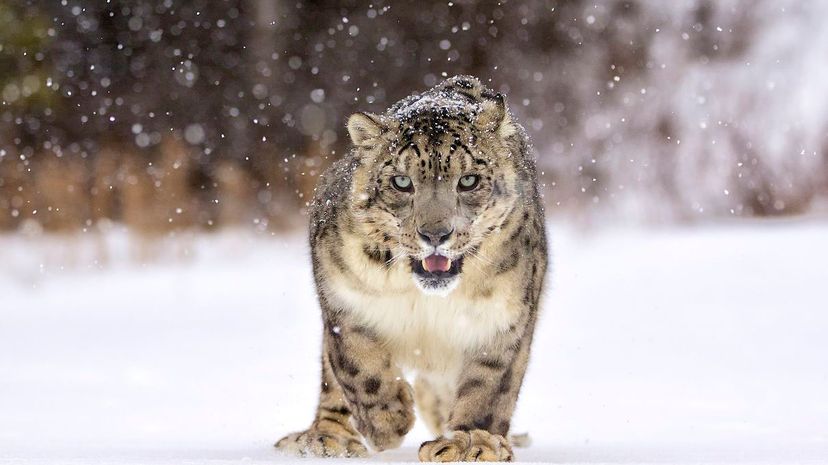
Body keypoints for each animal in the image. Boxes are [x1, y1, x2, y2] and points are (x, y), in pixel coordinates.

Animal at [275, 75, 548, 462]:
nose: (435, 234)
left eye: (469, 180)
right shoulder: (340, 295)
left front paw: (471, 443)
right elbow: (355, 363)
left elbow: (489, 387)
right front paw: (388, 420)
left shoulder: (504, 320)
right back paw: (328, 439)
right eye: (401, 182)